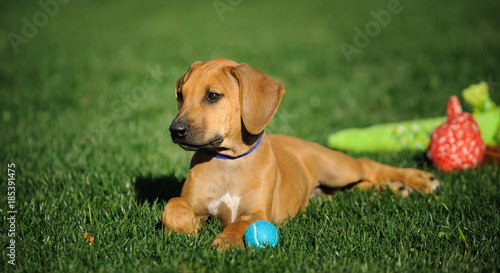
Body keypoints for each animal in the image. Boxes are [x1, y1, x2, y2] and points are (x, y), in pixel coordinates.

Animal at [162, 57, 440, 249]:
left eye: (213, 96)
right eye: (180, 95)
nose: (176, 130)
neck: (228, 161)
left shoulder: (258, 212)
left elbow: (241, 223)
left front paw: (226, 241)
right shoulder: (194, 203)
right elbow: (173, 206)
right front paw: (187, 229)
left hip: (336, 167)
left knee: (367, 166)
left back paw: (420, 180)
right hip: (331, 189)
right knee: (359, 186)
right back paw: (398, 189)